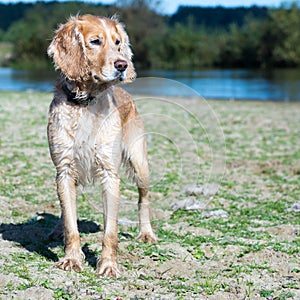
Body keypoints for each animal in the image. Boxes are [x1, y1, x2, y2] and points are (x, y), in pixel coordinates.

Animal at [47, 14, 157, 276]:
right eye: (95, 41)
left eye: (117, 42)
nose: (122, 65)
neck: (86, 103)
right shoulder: (64, 170)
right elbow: (71, 225)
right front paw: (71, 259)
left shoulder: (110, 172)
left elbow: (110, 232)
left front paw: (108, 265)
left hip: (140, 165)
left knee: (144, 199)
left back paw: (146, 233)